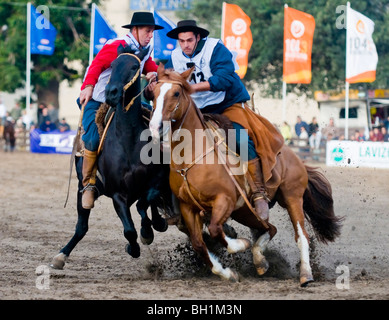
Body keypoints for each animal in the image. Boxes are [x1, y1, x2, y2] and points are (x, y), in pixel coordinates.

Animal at [50, 45, 173, 268]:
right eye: (112, 65)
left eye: (134, 67)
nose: (111, 93)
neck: (128, 141)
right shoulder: (118, 195)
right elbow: (130, 231)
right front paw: (134, 246)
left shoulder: (156, 181)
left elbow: (146, 202)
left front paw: (150, 229)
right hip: (82, 190)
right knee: (81, 227)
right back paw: (61, 255)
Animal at [149, 64, 342, 284]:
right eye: (154, 93)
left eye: (176, 93)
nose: (155, 127)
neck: (192, 155)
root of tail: (292, 155)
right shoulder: (187, 207)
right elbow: (199, 243)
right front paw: (228, 273)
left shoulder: (224, 200)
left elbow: (215, 230)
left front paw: (241, 244)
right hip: (244, 211)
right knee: (270, 228)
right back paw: (260, 260)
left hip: (292, 197)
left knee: (301, 236)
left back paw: (305, 274)